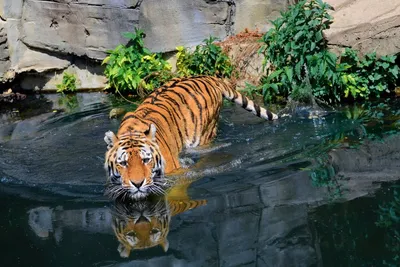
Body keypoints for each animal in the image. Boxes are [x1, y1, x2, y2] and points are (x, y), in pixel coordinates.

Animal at [104, 76, 278, 200]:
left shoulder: (178, 174)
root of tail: (209, 77)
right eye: (123, 163)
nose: (138, 184)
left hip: (203, 134)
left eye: (146, 160)